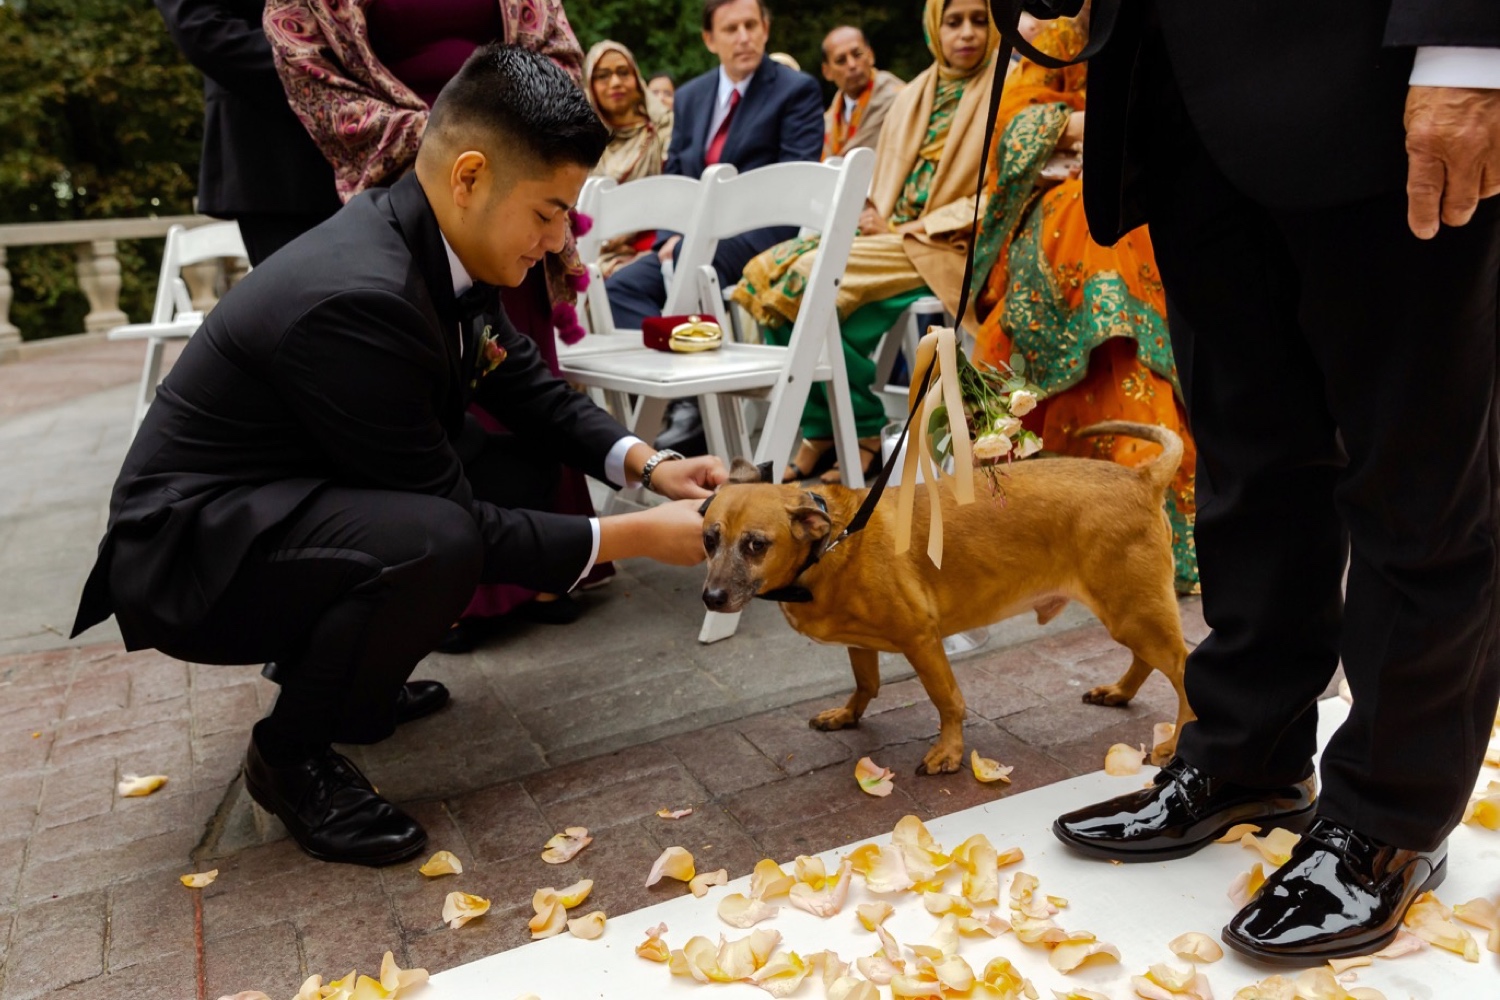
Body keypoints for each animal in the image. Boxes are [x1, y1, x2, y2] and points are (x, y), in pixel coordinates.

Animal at [693, 422, 1194, 773]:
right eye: (708, 540)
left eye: (756, 545)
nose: (711, 598)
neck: (833, 542)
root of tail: (1142, 478)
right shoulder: (861, 644)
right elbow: (865, 684)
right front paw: (847, 715)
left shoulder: (921, 640)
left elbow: (948, 701)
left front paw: (949, 752)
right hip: (1133, 613)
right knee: (1146, 659)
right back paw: (1120, 692)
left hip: (1133, 612)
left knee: (1183, 668)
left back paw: (1177, 740)